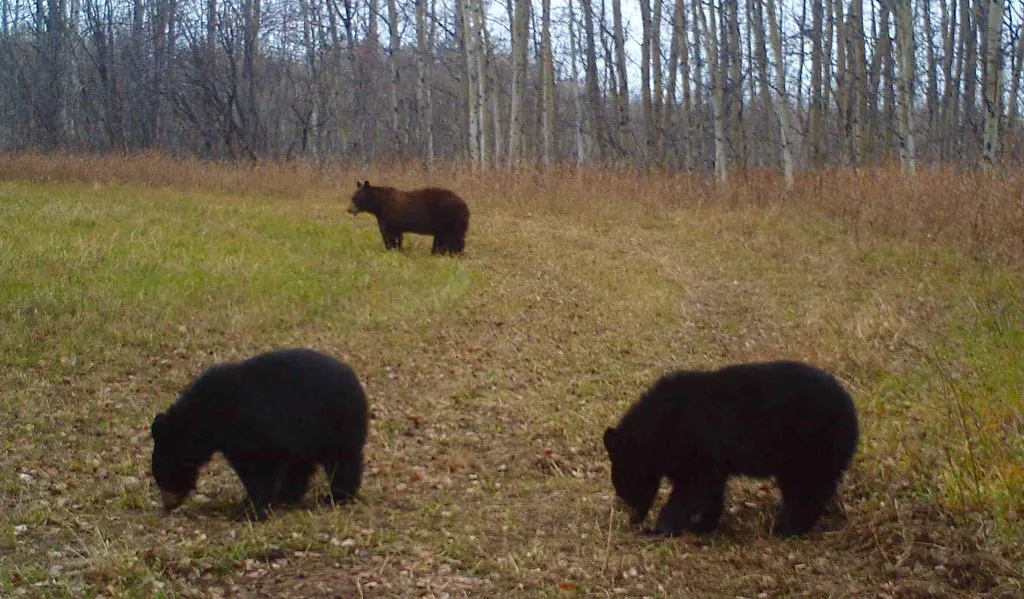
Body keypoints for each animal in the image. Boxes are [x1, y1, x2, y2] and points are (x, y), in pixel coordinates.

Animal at [150, 348, 369, 521]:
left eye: (165, 475)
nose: (168, 505)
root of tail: (355, 381)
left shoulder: (254, 426)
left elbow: (262, 465)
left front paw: (253, 510)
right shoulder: (234, 441)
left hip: (337, 423)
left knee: (343, 461)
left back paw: (337, 496)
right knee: (301, 466)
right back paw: (288, 496)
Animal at [603, 360, 858, 538]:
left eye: (626, 486)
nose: (633, 519)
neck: (659, 427)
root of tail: (852, 412)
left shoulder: (698, 440)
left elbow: (693, 485)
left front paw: (660, 528)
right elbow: (710, 487)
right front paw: (703, 524)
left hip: (813, 444)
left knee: (808, 488)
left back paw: (786, 528)